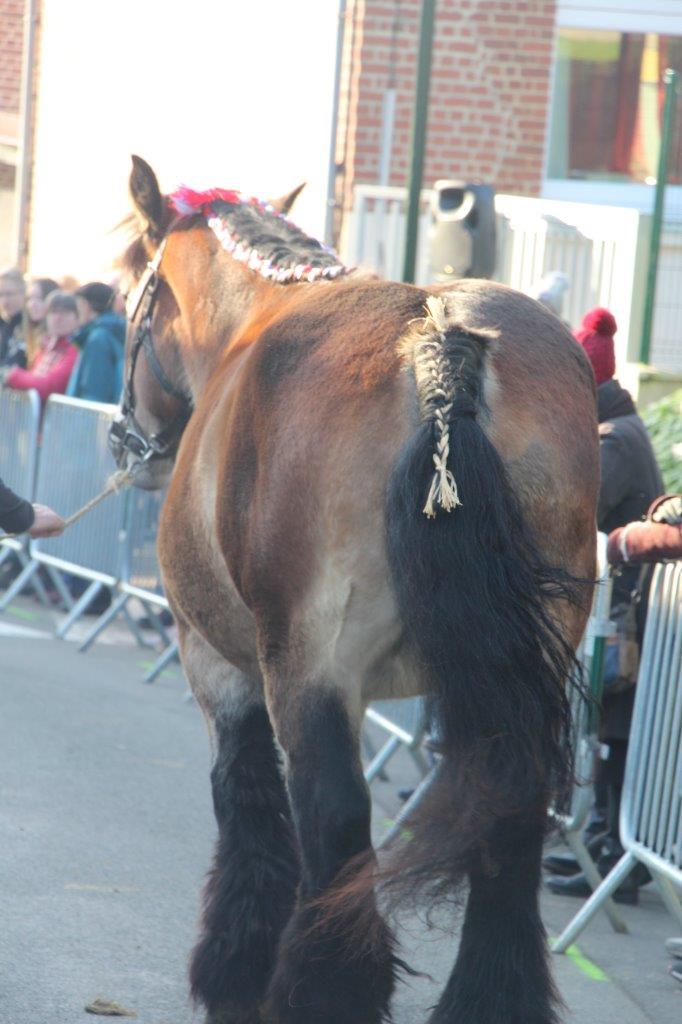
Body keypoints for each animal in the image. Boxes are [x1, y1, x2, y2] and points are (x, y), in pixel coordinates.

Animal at [111, 153, 593, 1024]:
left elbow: (249, 797)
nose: (126, 436)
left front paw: (235, 968)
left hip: (309, 666)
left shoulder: (220, 663)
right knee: (510, 809)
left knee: (333, 813)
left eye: (131, 282)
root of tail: (441, 348)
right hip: (528, 661)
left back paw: (322, 990)